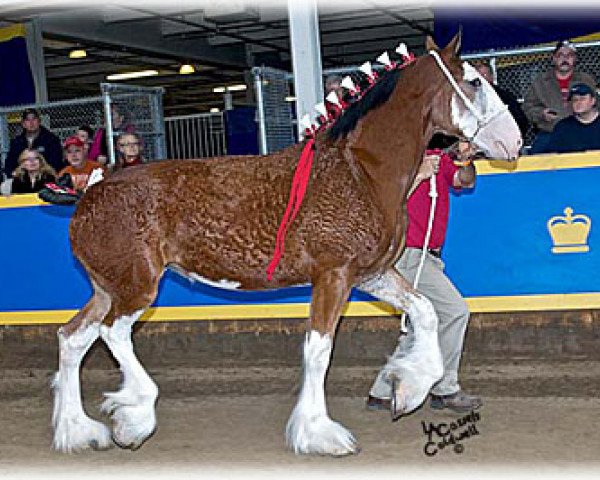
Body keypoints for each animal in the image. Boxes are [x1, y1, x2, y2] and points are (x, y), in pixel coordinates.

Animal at [50, 34, 520, 458]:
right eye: (474, 81)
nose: (514, 141)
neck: (360, 171)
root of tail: (90, 190)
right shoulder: (333, 276)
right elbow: (318, 350)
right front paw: (320, 435)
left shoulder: (372, 274)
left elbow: (423, 312)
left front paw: (407, 388)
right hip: (137, 288)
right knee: (112, 333)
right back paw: (132, 419)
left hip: (108, 288)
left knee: (73, 338)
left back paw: (79, 432)